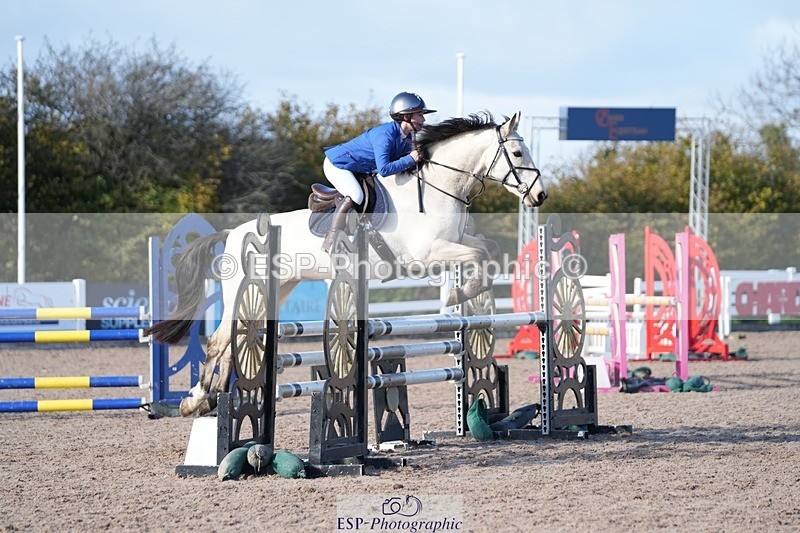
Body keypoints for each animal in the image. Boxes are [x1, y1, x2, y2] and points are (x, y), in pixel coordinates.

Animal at [146, 111, 547, 416]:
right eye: (516, 152)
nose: (540, 196)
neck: (438, 188)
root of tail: (234, 233)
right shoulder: (427, 253)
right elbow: (477, 256)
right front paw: (457, 295)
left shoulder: (456, 241)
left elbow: (487, 249)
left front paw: (465, 293)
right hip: (242, 290)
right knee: (219, 341)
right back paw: (195, 401)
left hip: (278, 288)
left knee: (234, 341)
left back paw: (209, 400)